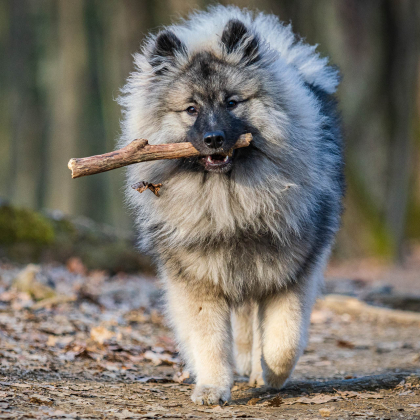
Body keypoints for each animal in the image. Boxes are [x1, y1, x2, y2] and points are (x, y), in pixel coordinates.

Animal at [117, 5, 344, 404]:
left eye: (232, 102)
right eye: (191, 109)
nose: (214, 138)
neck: (230, 203)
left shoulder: (292, 272)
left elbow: (284, 339)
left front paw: (272, 374)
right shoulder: (198, 281)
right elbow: (209, 339)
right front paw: (212, 385)